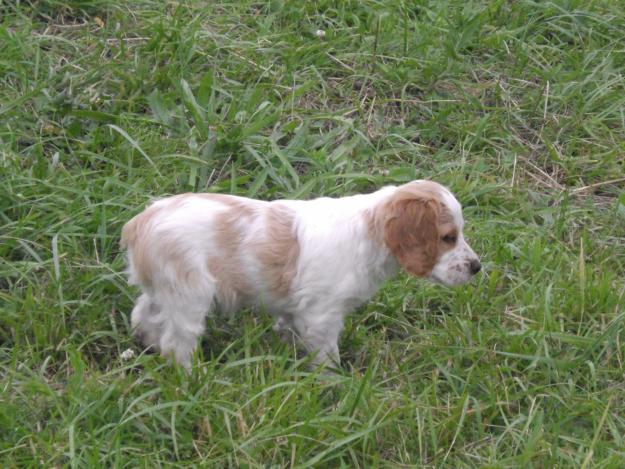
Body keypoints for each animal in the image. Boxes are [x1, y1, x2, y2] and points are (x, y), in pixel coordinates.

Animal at [123, 181, 482, 368]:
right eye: (448, 237)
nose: (477, 267)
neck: (367, 231)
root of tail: (140, 223)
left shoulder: (296, 311)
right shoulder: (323, 315)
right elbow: (326, 356)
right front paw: (335, 385)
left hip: (163, 290)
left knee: (143, 315)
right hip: (190, 294)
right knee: (176, 343)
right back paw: (193, 377)